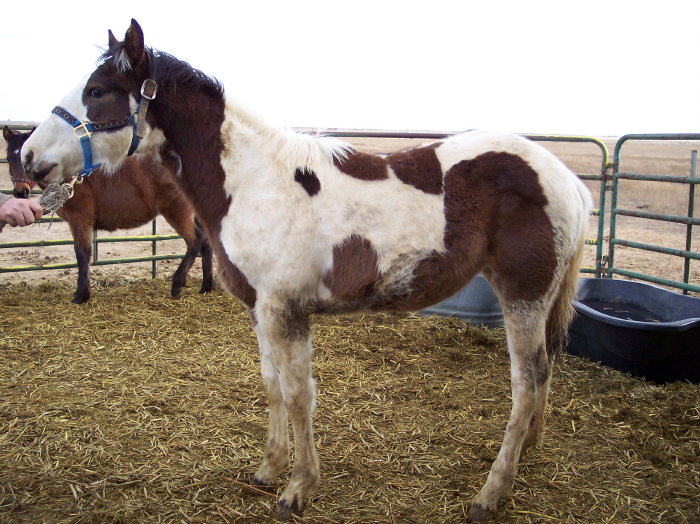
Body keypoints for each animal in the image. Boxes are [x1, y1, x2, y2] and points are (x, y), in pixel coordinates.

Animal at [4, 125, 214, 304]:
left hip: (176, 212)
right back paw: (206, 286)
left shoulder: (80, 219)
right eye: (9, 157)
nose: (20, 192)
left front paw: (81, 295)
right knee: (205, 243)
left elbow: (82, 253)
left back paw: (177, 284)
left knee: (194, 241)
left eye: (26, 157)